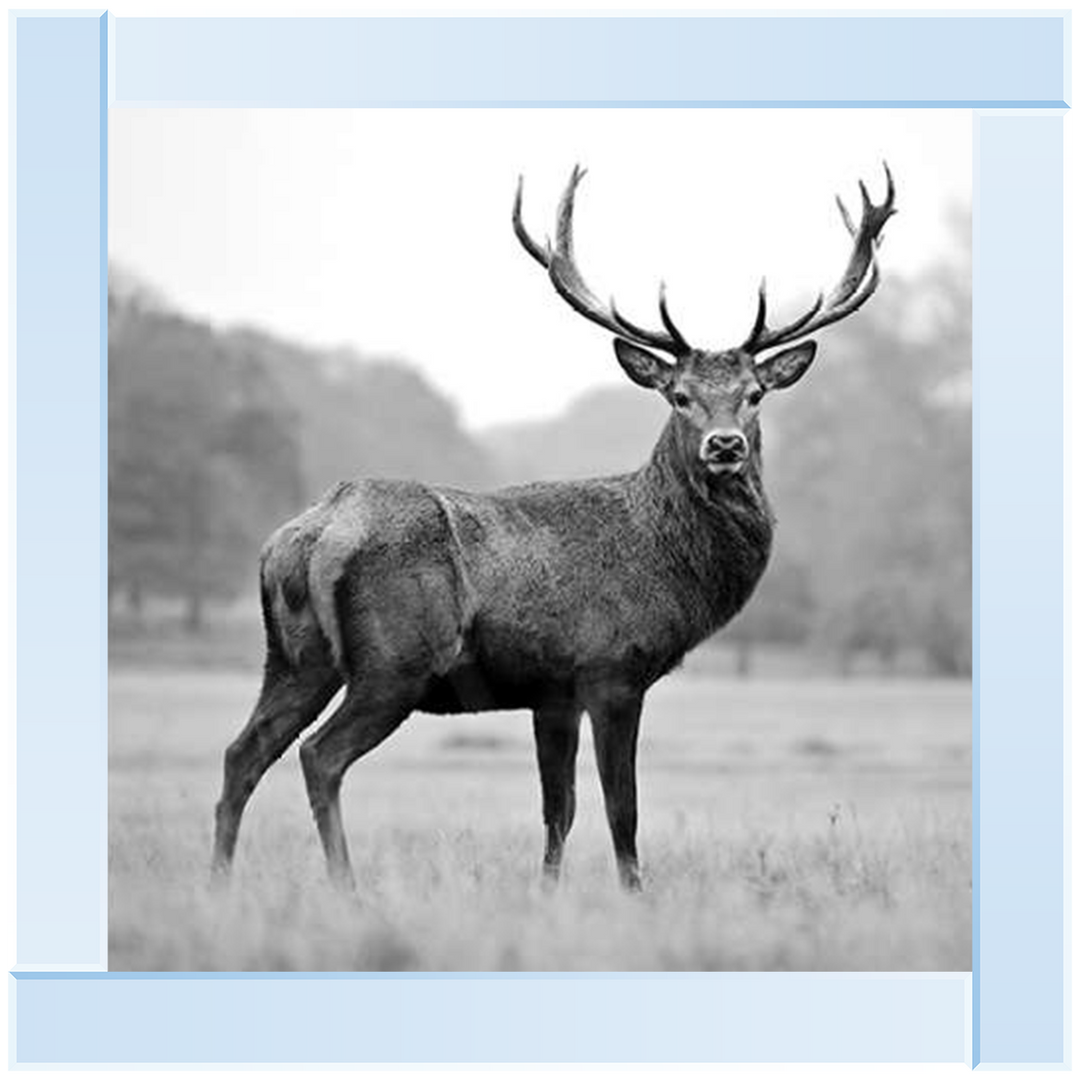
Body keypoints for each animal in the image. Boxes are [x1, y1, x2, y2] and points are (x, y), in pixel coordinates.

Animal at [211, 165, 896, 892]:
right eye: (678, 396)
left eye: (755, 394)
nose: (725, 445)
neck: (667, 563)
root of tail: (310, 534)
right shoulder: (612, 669)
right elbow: (622, 807)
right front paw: (634, 894)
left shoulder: (552, 692)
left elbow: (557, 809)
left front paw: (547, 892)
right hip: (394, 661)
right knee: (319, 755)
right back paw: (346, 887)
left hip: (294, 656)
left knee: (242, 752)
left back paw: (219, 880)